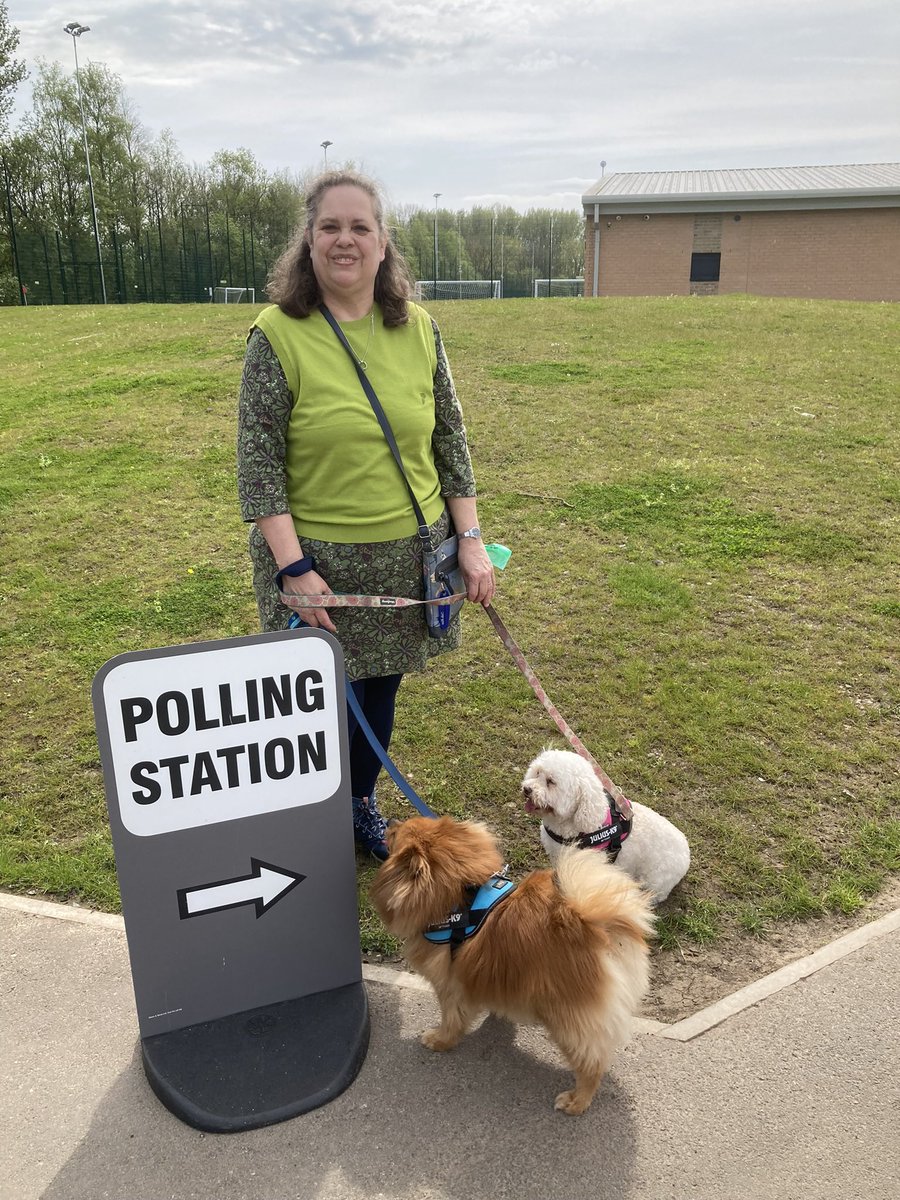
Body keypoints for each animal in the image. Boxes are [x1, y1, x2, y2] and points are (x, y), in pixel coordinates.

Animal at [369, 816, 657, 1113]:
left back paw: (576, 1101)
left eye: (396, 834)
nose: (390, 821)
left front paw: (439, 1040)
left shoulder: (450, 986)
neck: (460, 902)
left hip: (567, 1020)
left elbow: (452, 1020)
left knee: (591, 1063)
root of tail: (592, 927)